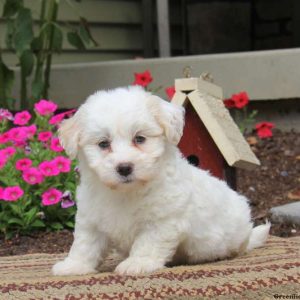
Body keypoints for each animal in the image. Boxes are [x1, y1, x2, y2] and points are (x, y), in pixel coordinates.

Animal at [52, 85, 270, 276]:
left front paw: (137, 263)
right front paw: (74, 266)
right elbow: (85, 244)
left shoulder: (161, 219)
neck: (125, 192)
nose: (124, 167)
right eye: (103, 143)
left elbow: (147, 243)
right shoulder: (91, 219)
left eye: (139, 139)